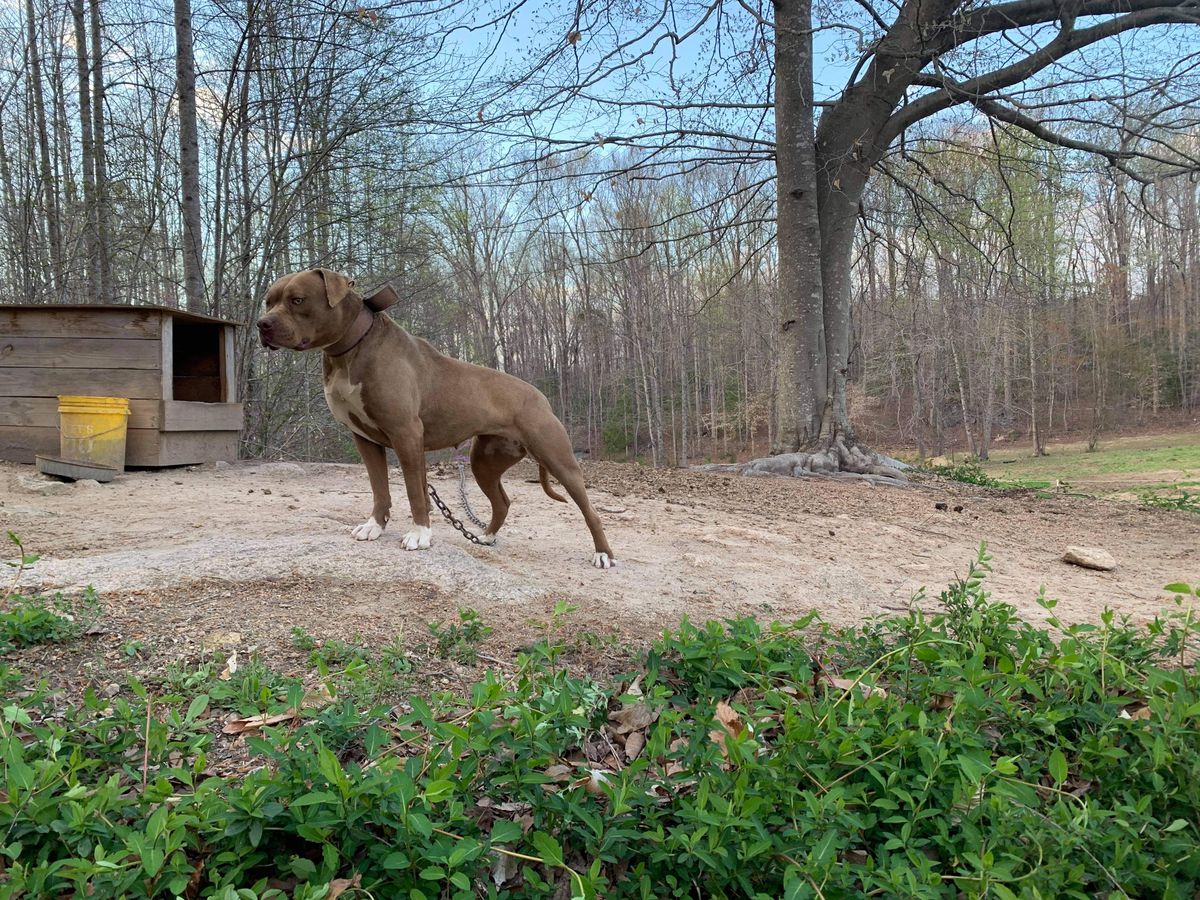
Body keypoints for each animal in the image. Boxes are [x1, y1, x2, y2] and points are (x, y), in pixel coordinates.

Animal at [255, 264, 619, 566]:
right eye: (268, 302)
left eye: (297, 300)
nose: (262, 324)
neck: (350, 349)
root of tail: (540, 396)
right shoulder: (365, 438)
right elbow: (379, 487)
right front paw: (374, 526)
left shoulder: (406, 434)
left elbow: (415, 491)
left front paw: (419, 534)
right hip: (485, 461)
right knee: (502, 501)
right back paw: (486, 537)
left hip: (558, 458)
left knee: (589, 510)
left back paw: (603, 554)